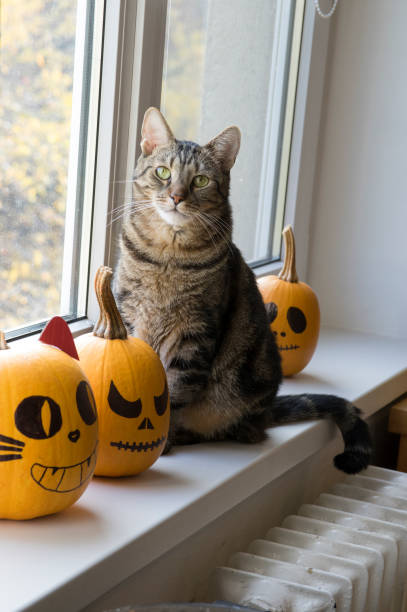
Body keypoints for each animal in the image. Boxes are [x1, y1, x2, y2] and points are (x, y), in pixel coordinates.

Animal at [115, 107, 372, 474]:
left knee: (244, 430)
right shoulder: (130, 314)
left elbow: (175, 390)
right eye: (163, 173)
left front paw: (164, 438)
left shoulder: (195, 332)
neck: (168, 256)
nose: (176, 196)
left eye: (200, 181)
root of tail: (267, 409)